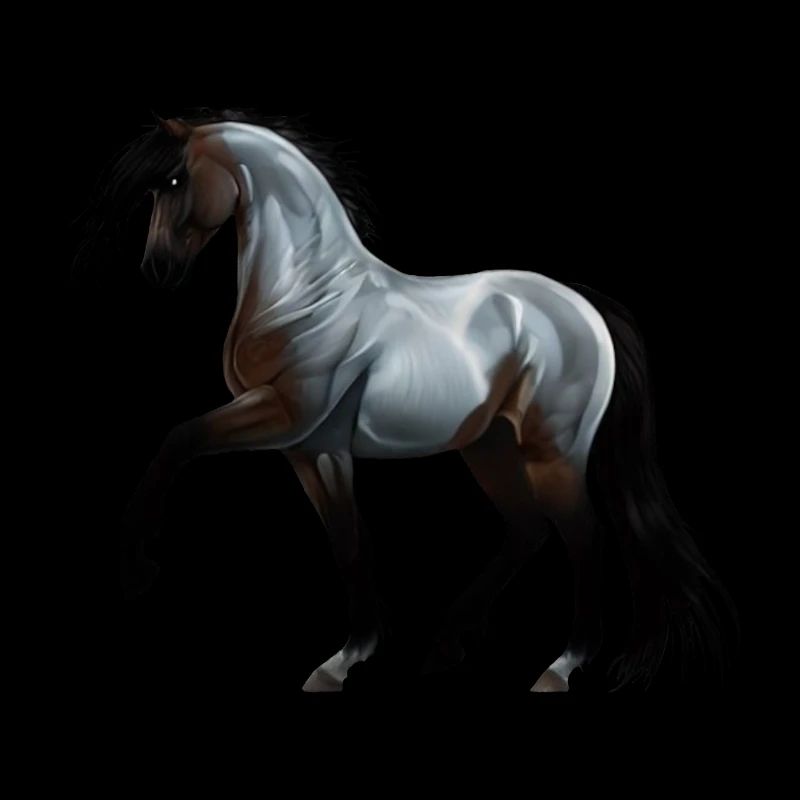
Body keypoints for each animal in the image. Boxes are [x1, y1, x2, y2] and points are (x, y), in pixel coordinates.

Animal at [95, 111, 735, 692]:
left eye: (174, 180)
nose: (158, 267)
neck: (308, 293)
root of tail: (584, 308)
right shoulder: (309, 449)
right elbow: (347, 541)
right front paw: (345, 659)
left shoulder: (289, 421)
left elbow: (180, 441)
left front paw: (137, 571)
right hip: (490, 446)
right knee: (527, 530)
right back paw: (446, 645)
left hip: (553, 453)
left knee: (583, 536)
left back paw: (559, 667)